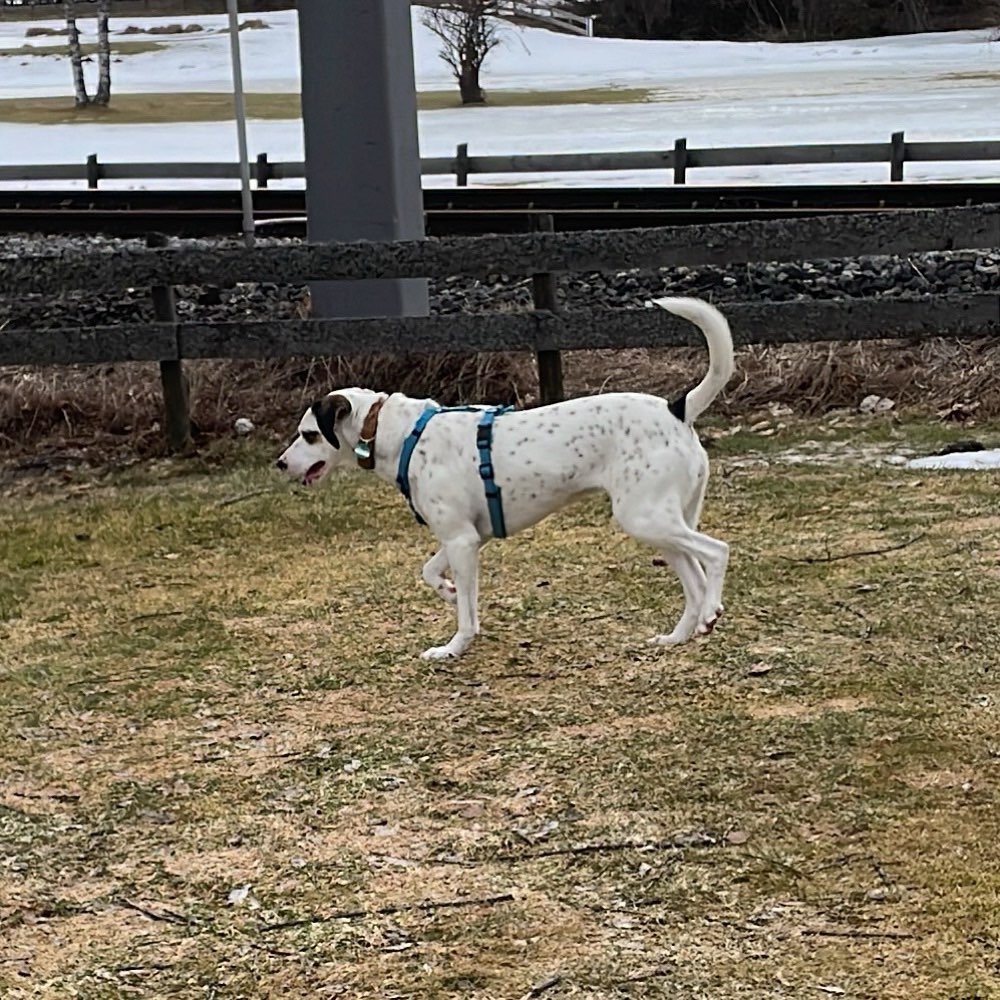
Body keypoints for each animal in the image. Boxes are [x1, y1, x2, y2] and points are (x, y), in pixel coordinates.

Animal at [276, 292, 736, 660]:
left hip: (646, 518)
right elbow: (430, 572)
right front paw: (449, 592)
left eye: (309, 434)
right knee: (693, 580)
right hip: (662, 524)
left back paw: (711, 611)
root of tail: (677, 408)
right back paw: (684, 633)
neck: (401, 433)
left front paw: (453, 648)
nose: (280, 463)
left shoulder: (462, 542)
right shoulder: (464, 537)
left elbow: (466, 616)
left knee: (716, 553)